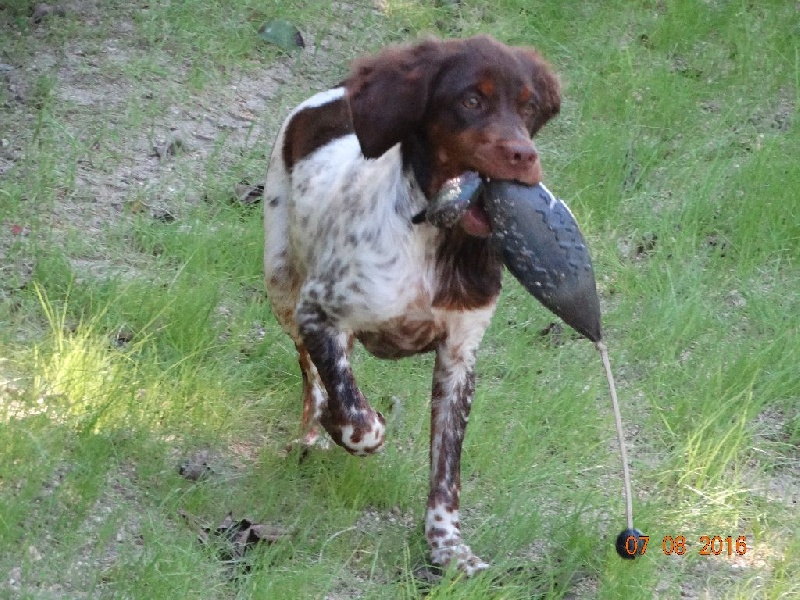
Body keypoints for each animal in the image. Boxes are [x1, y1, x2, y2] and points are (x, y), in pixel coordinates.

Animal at [263, 35, 561, 574]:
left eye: (528, 107)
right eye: (471, 100)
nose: (524, 155)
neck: (435, 239)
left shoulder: (459, 357)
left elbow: (446, 469)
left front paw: (449, 548)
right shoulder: (318, 311)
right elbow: (358, 420)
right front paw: (354, 422)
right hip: (281, 285)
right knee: (312, 375)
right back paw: (313, 429)